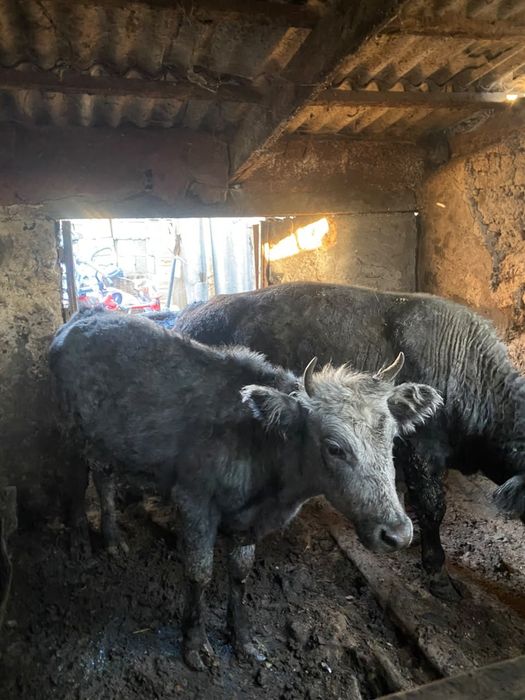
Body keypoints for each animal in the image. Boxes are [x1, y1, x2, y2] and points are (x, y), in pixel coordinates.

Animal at [49, 307, 441, 670]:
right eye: (334, 447)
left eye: (392, 437)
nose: (397, 533)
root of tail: (86, 315)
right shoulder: (193, 502)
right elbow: (200, 571)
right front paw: (195, 644)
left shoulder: (249, 522)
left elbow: (240, 573)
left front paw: (243, 640)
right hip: (68, 429)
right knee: (77, 480)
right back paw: (83, 542)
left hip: (105, 440)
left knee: (104, 477)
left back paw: (113, 540)